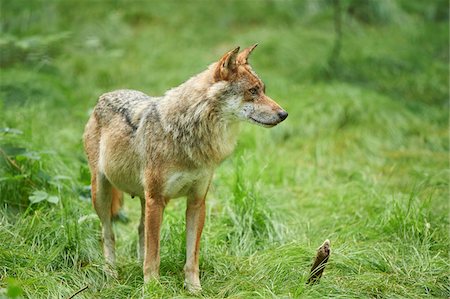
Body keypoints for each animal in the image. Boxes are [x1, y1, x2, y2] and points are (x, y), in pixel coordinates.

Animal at [83, 44, 288, 292]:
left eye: (263, 90)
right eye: (253, 91)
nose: (284, 114)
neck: (190, 134)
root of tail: (104, 96)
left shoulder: (197, 202)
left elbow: (191, 255)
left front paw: (194, 289)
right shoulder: (157, 200)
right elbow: (154, 255)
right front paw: (152, 288)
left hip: (143, 198)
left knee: (140, 230)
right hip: (102, 194)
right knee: (108, 233)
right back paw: (111, 274)